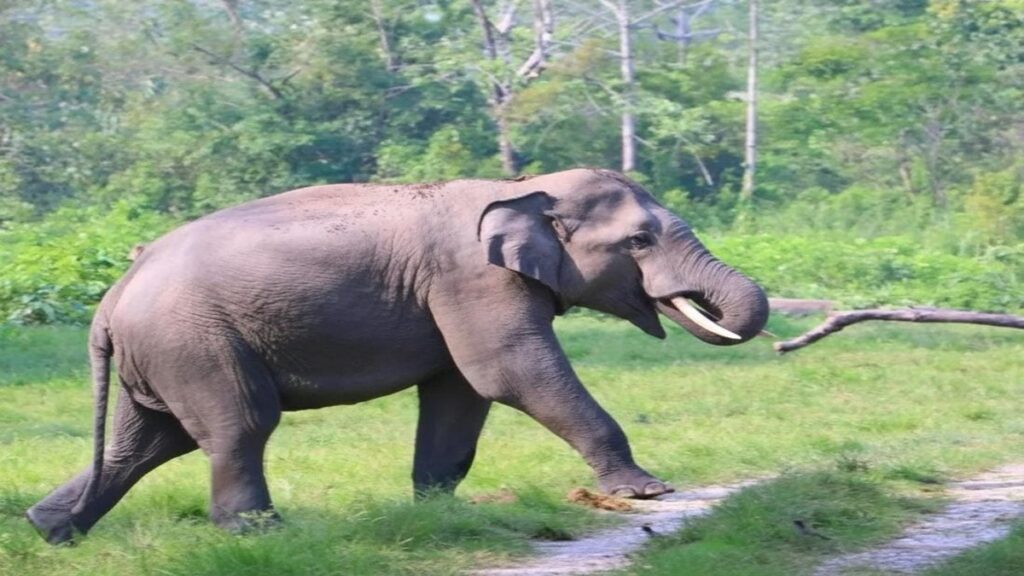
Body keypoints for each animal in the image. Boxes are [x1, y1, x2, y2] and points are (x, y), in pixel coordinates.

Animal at [26, 168, 769, 544]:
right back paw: (259, 534)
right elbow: (508, 372)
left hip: (164, 352)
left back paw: (51, 530)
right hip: (193, 341)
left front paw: (437, 513)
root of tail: (111, 297)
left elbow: (459, 392)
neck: (524, 184)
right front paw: (649, 491)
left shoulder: (459, 292)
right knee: (237, 425)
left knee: (149, 441)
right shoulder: (471, 279)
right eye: (639, 241)